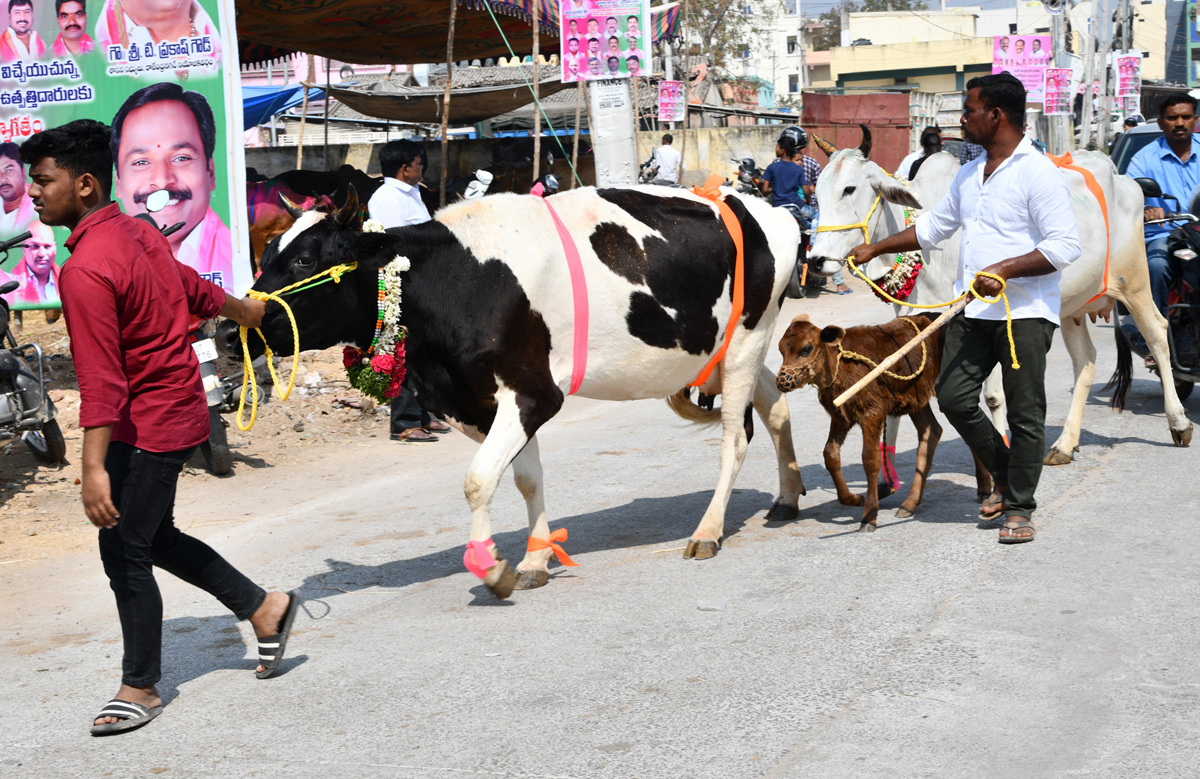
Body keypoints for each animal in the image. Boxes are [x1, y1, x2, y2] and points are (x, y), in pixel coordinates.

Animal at [222, 184, 811, 597]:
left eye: (305, 260)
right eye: (267, 253)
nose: (227, 330)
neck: (452, 279)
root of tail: (767, 209)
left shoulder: (532, 394)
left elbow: (479, 480)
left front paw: (492, 568)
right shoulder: (477, 402)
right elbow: (526, 478)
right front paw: (533, 560)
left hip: (746, 338)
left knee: (735, 438)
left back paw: (708, 530)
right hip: (732, 347)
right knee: (776, 404)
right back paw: (787, 497)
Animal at [772, 312, 988, 530]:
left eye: (806, 348)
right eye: (781, 349)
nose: (783, 380)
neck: (840, 366)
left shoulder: (872, 412)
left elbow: (870, 458)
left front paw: (869, 516)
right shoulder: (841, 416)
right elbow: (830, 454)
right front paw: (853, 498)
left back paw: (984, 489)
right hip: (917, 399)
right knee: (932, 431)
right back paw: (911, 503)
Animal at [806, 139, 1190, 468]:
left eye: (850, 189)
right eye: (818, 192)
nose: (817, 260)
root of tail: (1120, 176)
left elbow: (992, 397)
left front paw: (1001, 447)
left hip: (1133, 282)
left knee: (1157, 335)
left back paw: (1179, 423)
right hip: (1072, 306)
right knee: (1086, 362)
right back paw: (1065, 444)